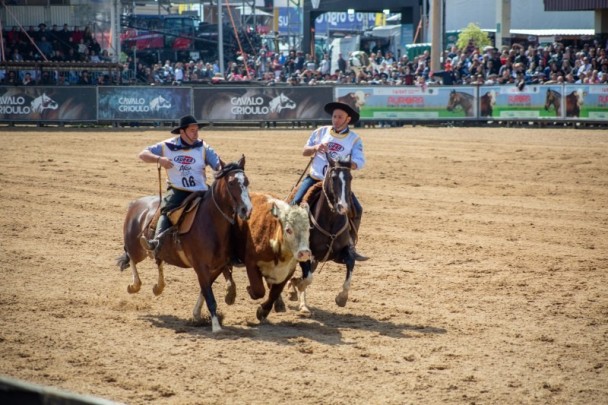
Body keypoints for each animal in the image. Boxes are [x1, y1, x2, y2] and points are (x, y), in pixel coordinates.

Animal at [116, 155, 252, 332]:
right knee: (131, 257)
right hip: (137, 248)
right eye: (231, 183)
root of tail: (135, 203)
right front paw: (216, 326)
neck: (210, 222)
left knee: (158, 260)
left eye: (247, 182)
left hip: (156, 250)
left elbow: (205, 289)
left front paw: (197, 314)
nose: (246, 210)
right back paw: (135, 286)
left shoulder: (218, 266)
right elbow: (209, 295)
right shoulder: (200, 266)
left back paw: (158, 287)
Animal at [282, 153, 360, 314]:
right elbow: (307, 279)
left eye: (350, 177)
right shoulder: (306, 254)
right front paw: (294, 285)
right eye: (333, 177)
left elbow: (351, 264)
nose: (343, 206)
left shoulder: (340, 253)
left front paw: (341, 298)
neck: (330, 222)